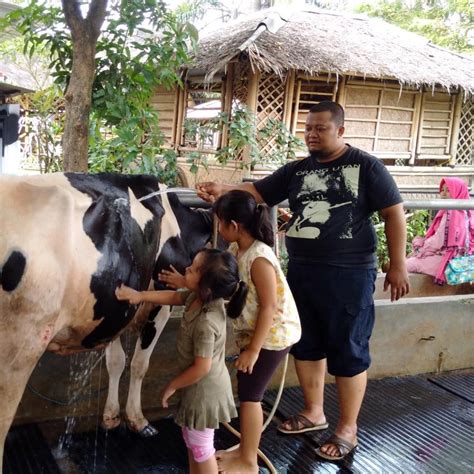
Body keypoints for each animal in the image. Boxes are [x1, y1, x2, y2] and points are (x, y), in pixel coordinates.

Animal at [0, 171, 215, 466]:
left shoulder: (115, 313)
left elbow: (116, 362)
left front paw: (111, 417)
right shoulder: (160, 303)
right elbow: (139, 364)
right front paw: (137, 420)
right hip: (18, 349)